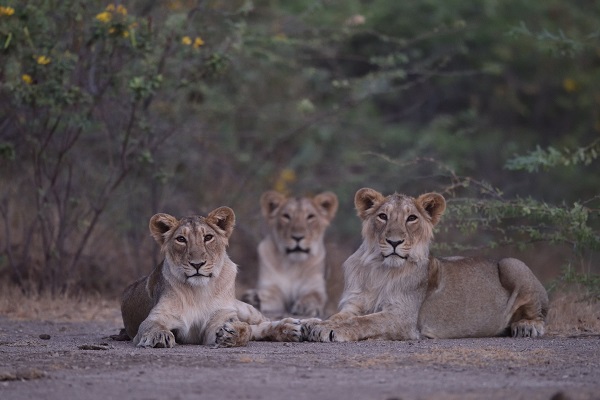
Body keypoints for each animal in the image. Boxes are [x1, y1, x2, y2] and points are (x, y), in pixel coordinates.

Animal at [120, 206, 300, 346]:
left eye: (208, 237)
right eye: (181, 239)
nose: (197, 264)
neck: (198, 291)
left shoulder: (221, 317)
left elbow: (246, 329)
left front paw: (233, 333)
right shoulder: (158, 316)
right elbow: (151, 326)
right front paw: (159, 335)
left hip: (243, 307)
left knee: (263, 321)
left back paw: (296, 326)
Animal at [304, 189, 548, 342]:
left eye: (411, 218)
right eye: (383, 216)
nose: (394, 242)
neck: (380, 270)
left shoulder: (403, 317)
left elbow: (362, 322)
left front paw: (329, 329)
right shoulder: (353, 304)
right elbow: (343, 316)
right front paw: (313, 323)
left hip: (513, 264)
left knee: (540, 315)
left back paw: (526, 326)